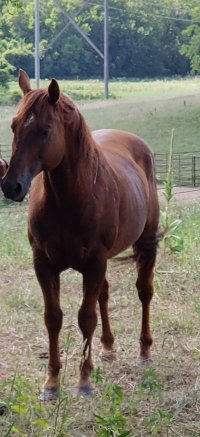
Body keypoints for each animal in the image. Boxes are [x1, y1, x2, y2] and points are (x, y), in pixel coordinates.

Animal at [1, 70, 159, 400]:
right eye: (13, 125)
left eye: (45, 130)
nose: (11, 186)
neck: (69, 201)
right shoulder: (44, 264)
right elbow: (53, 318)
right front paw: (51, 383)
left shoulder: (94, 263)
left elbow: (86, 317)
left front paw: (84, 381)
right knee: (105, 294)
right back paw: (108, 348)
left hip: (146, 244)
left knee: (144, 292)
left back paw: (144, 352)